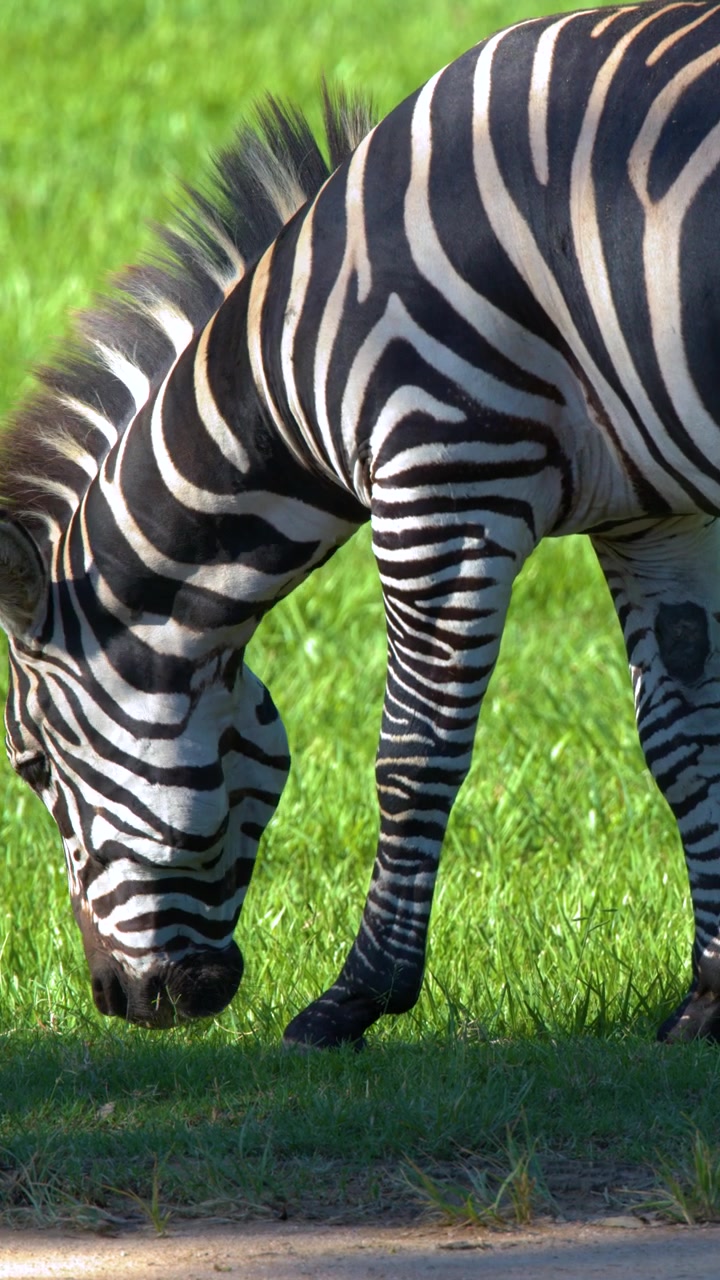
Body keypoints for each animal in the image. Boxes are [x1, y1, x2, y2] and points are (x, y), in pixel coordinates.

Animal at [3, 0, 720, 1048]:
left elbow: (414, 752)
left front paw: (358, 995)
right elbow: (683, 738)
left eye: (31, 768)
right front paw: (709, 995)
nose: (118, 1003)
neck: (285, 372)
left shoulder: (445, 475)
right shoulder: (654, 517)